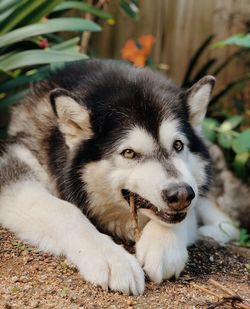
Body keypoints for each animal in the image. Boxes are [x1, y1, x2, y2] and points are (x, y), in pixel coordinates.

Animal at [0, 60, 239, 294]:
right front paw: (111, 258)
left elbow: (188, 212)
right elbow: (65, 210)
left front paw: (164, 245)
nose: (181, 195)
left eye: (178, 145)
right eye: (129, 153)